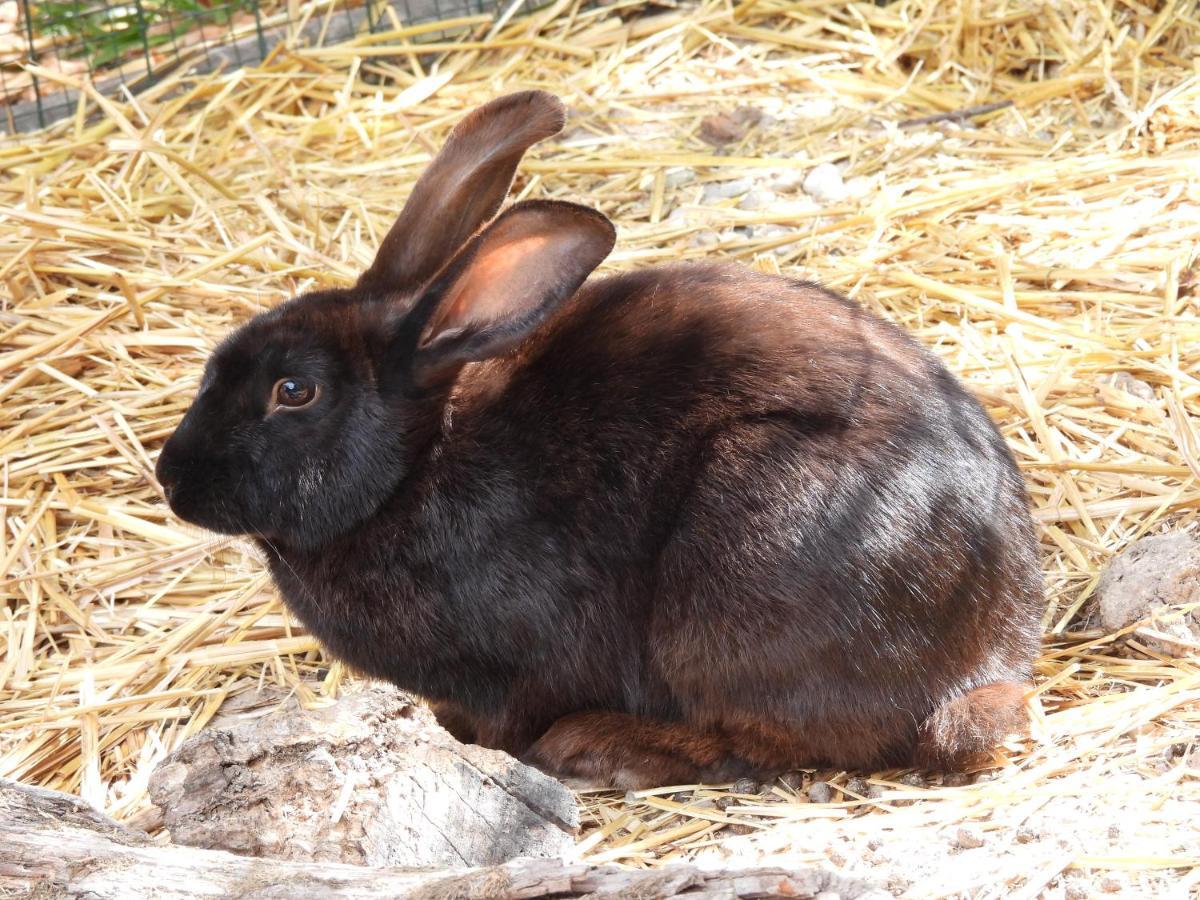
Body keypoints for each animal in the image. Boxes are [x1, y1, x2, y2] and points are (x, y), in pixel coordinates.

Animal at [157, 91, 1041, 787]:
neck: (413, 470)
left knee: (768, 739)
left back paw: (599, 747)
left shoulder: (522, 666)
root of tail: (990, 657)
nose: (171, 478)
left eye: (294, 391)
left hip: (745, 568)